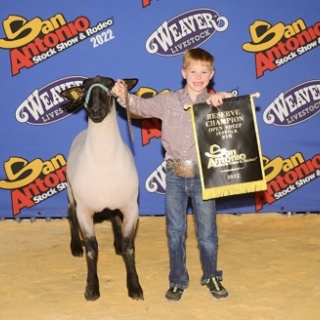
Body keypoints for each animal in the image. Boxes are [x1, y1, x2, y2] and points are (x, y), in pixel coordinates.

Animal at [59, 76, 144, 302]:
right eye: (85, 89)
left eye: (110, 88)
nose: (96, 111)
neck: (104, 161)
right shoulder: (85, 211)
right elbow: (92, 249)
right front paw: (92, 288)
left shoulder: (131, 207)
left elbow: (130, 246)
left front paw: (134, 287)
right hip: (71, 192)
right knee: (70, 212)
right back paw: (75, 245)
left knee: (113, 216)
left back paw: (116, 243)